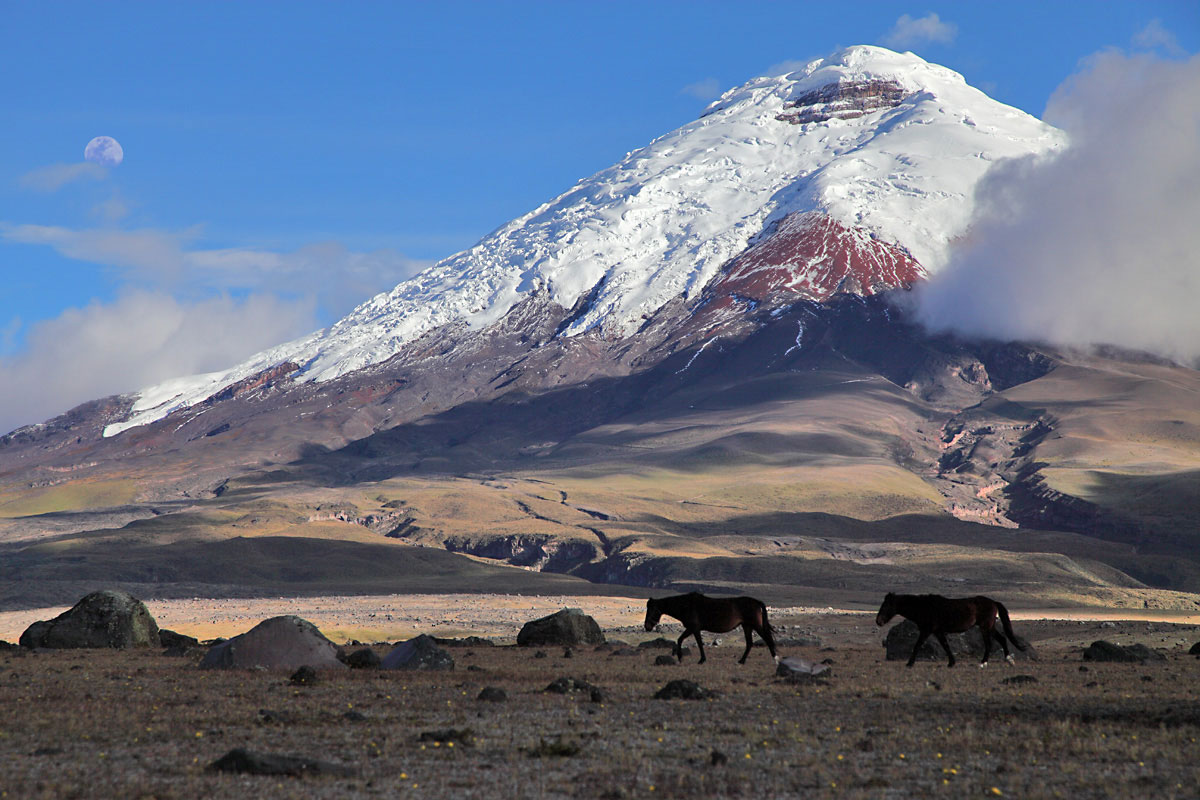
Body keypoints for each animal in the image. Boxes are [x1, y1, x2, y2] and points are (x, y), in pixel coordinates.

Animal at [648, 592, 777, 666]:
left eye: (651, 609)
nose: (646, 626)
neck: (686, 605)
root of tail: (757, 602)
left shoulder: (694, 628)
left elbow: (697, 643)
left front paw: (700, 660)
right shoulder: (692, 629)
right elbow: (681, 640)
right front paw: (681, 658)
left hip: (756, 625)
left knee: (768, 639)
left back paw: (775, 659)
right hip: (747, 626)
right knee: (749, 643)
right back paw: (741, 661)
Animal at [878, 592, 1027, 666]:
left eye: (886, 605)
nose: (878, 621)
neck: (924, 607)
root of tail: (993, 602)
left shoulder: (926, 630)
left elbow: (917, 645)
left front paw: (909, 663)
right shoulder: (938, 631)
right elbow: (946, 646)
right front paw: (951, 662)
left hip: (985, 627)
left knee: (989, 644)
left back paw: (983, 663)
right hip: (990, 626)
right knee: (1002, 639)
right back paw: (1009, 660)